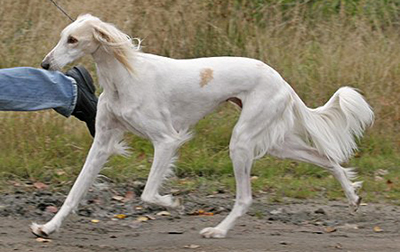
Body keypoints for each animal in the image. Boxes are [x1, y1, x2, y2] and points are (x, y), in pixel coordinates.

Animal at [32, 14, 374, 239]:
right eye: (62, 36)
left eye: (73, 39)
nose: (45, 65)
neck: (124, 78)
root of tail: (282, 80)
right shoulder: (102, 143)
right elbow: (75, 191)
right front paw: (48, 227)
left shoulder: (166, 140)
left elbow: (148, 193)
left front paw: (172, 202)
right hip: (275, 142)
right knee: (327, 158)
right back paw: (352, 196)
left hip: (242, 141)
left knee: (245, 197)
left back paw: (218, 231)